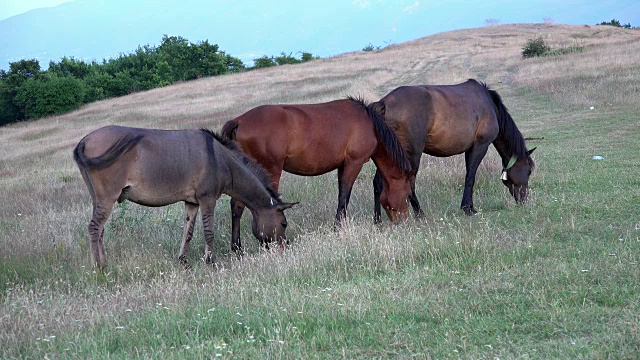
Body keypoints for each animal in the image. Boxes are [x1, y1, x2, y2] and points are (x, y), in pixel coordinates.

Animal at [74, 125, 296, 268]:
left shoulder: (191, 202)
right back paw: (99, 269)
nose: (284, 249)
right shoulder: (207, 199)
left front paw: (184, 261)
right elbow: (208, 231)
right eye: (284, 224)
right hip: (107, 198)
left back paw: (104, 264)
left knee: (100, 231)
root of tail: (84, 140)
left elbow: (188, 231)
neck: (220, 160)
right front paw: (211, 261)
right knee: (94, 228)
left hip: (98, 199)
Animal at [222, 95, 412, 253]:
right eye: (407, 195)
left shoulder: (342, 166)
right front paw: (338, 228)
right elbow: (344, 197)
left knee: (237, 207)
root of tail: (238, 121)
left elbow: (341, 195)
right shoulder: (353, 163)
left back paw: (237, 249)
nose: (404, 221)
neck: (370, 124)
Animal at [370, 79, 536, 221]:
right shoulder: (480, 146)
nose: (524, 199)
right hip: (411, 154)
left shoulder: (470, 149)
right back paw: (419, 213)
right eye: (528, 171)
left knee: (379, 183)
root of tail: (384, 104)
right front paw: (468, 208)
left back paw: (378, 219)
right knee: (409, 182)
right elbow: (470, 177)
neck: (489, 104)